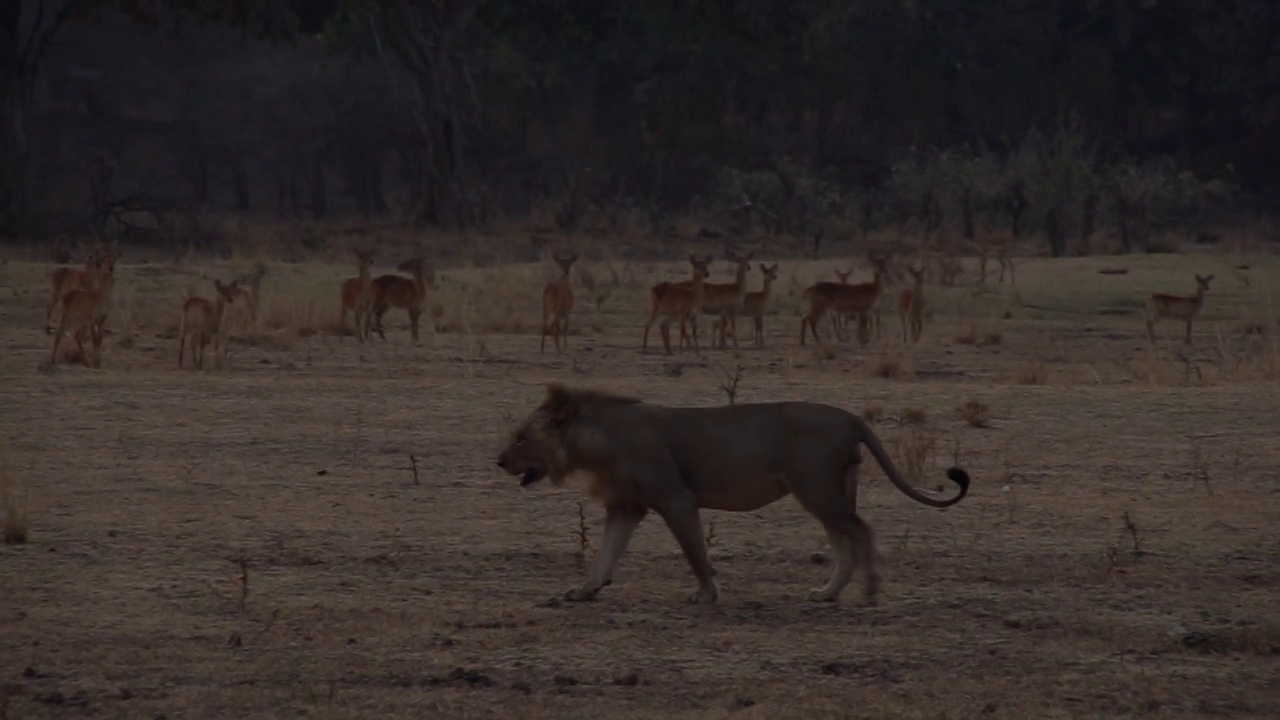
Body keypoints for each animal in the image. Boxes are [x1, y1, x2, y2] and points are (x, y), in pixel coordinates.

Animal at [494, 384, 962, 602]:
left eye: (520, 437)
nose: (498, 460)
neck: (594, 443)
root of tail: (852, 417)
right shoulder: (625, 506)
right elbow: (605, 554)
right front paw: (585, 590)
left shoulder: (676, 500)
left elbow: (695, 553)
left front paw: (706, 594)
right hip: (826, 493)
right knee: (844, 540)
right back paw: (827, 594)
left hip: (818, 489)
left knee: (863, 532)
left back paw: (870, 591)